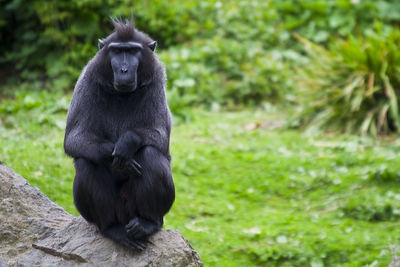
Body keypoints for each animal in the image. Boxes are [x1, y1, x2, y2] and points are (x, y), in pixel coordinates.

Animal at [64, 19, 173, 251]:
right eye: (117, 51)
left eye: (132, 51)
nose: (123, 70)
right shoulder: (87, 80)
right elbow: (73, 139)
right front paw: (111, 152)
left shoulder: (157, 82)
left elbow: (160, 135)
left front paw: (126, 144)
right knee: (88, 161)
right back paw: (112, 228)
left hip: (132, 208)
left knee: (149, 153)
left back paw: (148, 223)